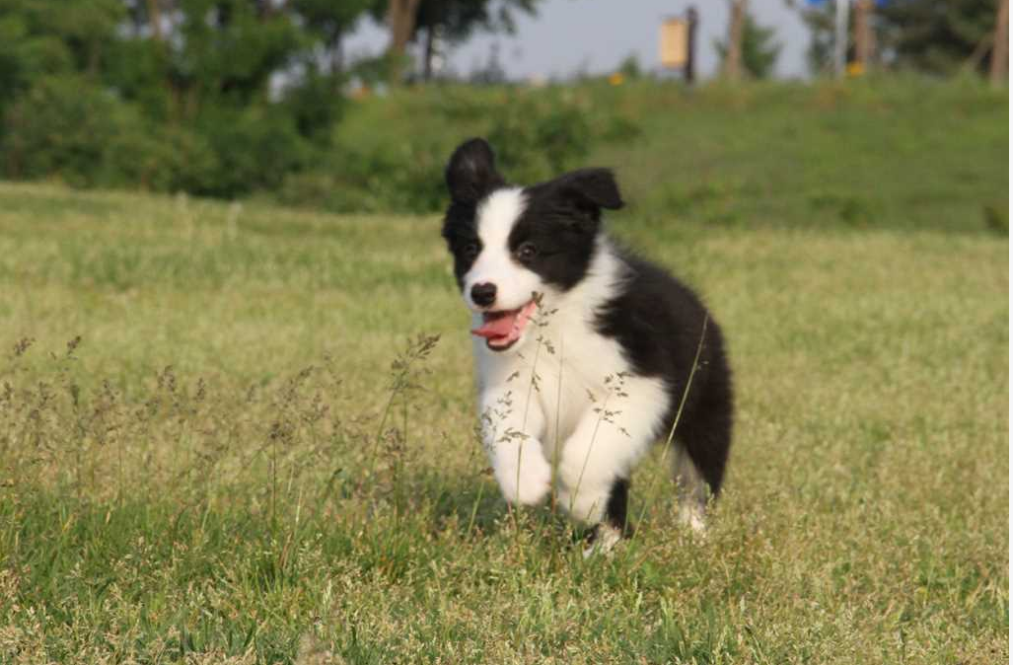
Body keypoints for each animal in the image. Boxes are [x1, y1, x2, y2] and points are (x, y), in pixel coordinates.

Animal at [439, 137, 733, 547]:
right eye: (470, 249)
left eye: (528, 250)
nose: (482, 292)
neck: (559, 322)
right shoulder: (511, 380)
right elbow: (506, 428)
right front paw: (526, 481)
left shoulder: (641, 380)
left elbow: (590, 446)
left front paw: (580, 499)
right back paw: (606, 545)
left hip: (704, 406)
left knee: (697, 476)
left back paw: (693, 534)